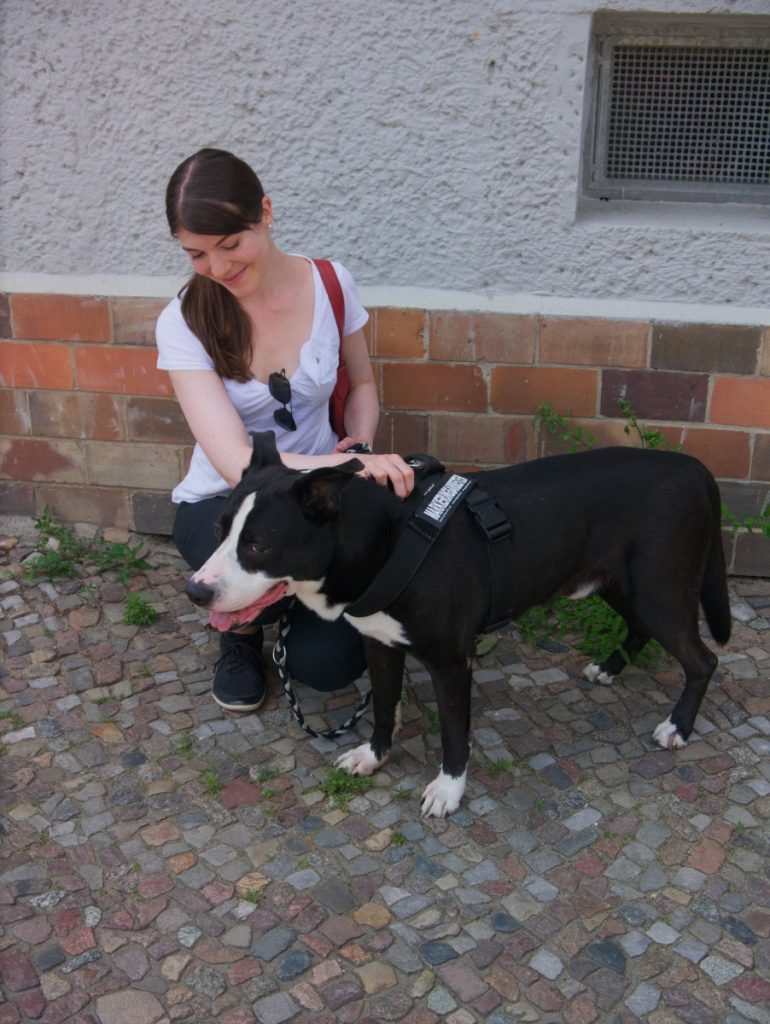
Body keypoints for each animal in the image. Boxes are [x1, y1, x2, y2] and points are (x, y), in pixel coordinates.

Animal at [183, 430, 729, 815]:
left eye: (258, 545)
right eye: (219, 529)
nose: (196, 591)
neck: (384, 539)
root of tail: (693, 467)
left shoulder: (450, 662)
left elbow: (453, 732)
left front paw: (448, 789)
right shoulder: (379, 644)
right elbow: (383, 709)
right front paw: (374, 756)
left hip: (658, 590)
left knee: (703, 659)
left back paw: (678, 726)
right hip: (621, 584)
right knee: (642, 629)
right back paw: (610, 668)